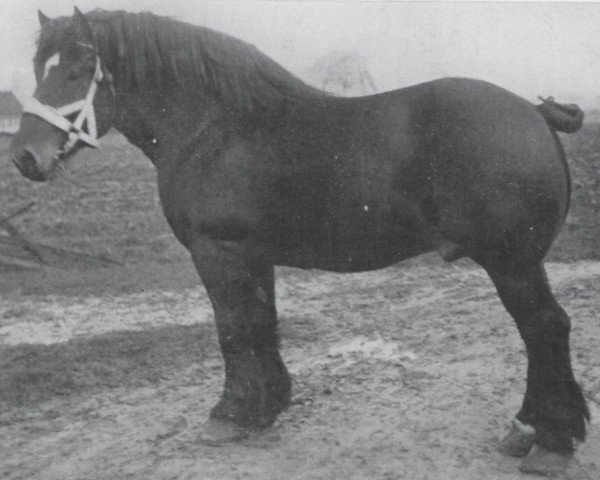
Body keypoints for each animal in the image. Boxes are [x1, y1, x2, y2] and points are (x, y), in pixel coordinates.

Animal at [9, 9, 592, 474]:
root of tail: (534, 113)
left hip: (511, 262)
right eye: (40, 69)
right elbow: (261, 324)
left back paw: (551, 442)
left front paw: (228, 415)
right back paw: (526, 431)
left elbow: (232, 330)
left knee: (545, 329)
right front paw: (265, 407)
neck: (213, 128)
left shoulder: (217, 252)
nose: (24, 157)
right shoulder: (252, 256)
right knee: (542, 334)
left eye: (80, 68)